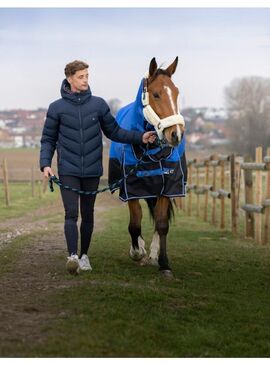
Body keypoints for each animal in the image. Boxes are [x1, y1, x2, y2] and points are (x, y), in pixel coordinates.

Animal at [108, 57, 187, 278]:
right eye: (156, 94)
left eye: (176, 92)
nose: (176, 134)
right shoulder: (131, 189)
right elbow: (135, 224)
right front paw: (137, 251)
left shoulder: (166, 187)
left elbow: (162, 224)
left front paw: (163, 263)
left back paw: (153, 254)